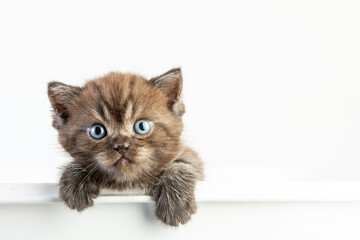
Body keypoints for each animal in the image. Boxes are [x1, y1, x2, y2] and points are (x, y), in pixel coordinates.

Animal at [47, 68, 204, 226]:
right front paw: (73, 180)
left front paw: (176, 206)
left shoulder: (189, 155)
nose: (121, 146)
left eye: (142, 126)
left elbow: (182, 164)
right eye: (97, 131)